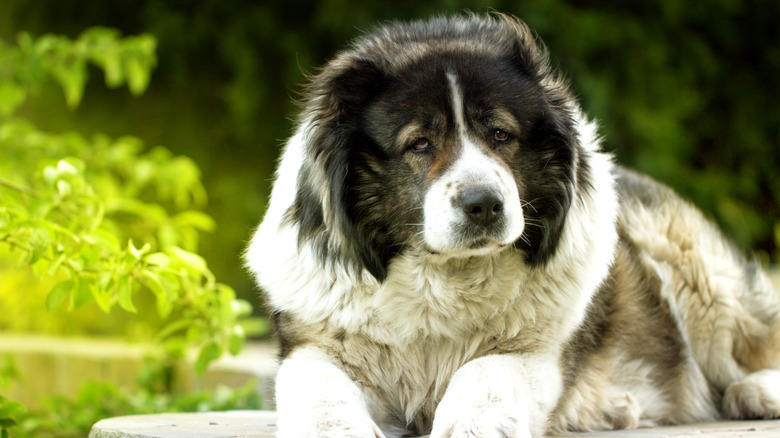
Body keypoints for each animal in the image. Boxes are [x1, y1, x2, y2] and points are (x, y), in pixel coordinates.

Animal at [245, 12, 780, 436]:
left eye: (501, 134)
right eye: (420, 144)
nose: (484, 203)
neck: (444, 281)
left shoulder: (534, 354)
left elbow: (484, 371)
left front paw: (472, 425)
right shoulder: (314, 347)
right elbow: (319, 391)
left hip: (695, 272)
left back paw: (755, 392)